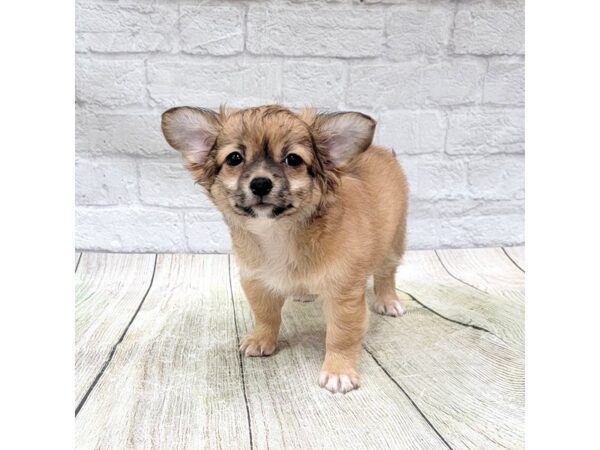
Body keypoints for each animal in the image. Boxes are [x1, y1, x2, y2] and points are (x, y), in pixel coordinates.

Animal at [162, 105, 410, 394]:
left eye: (293, 160)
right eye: (234, 158)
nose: (260, 183)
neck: (278, 232)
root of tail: (381, 151)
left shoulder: (343, 294)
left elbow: (341, 335)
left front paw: (338, 371)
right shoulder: (257, 280)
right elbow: (266, 315)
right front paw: (262, 339)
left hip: (393, 243)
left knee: (386, 275)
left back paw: (388, 301)